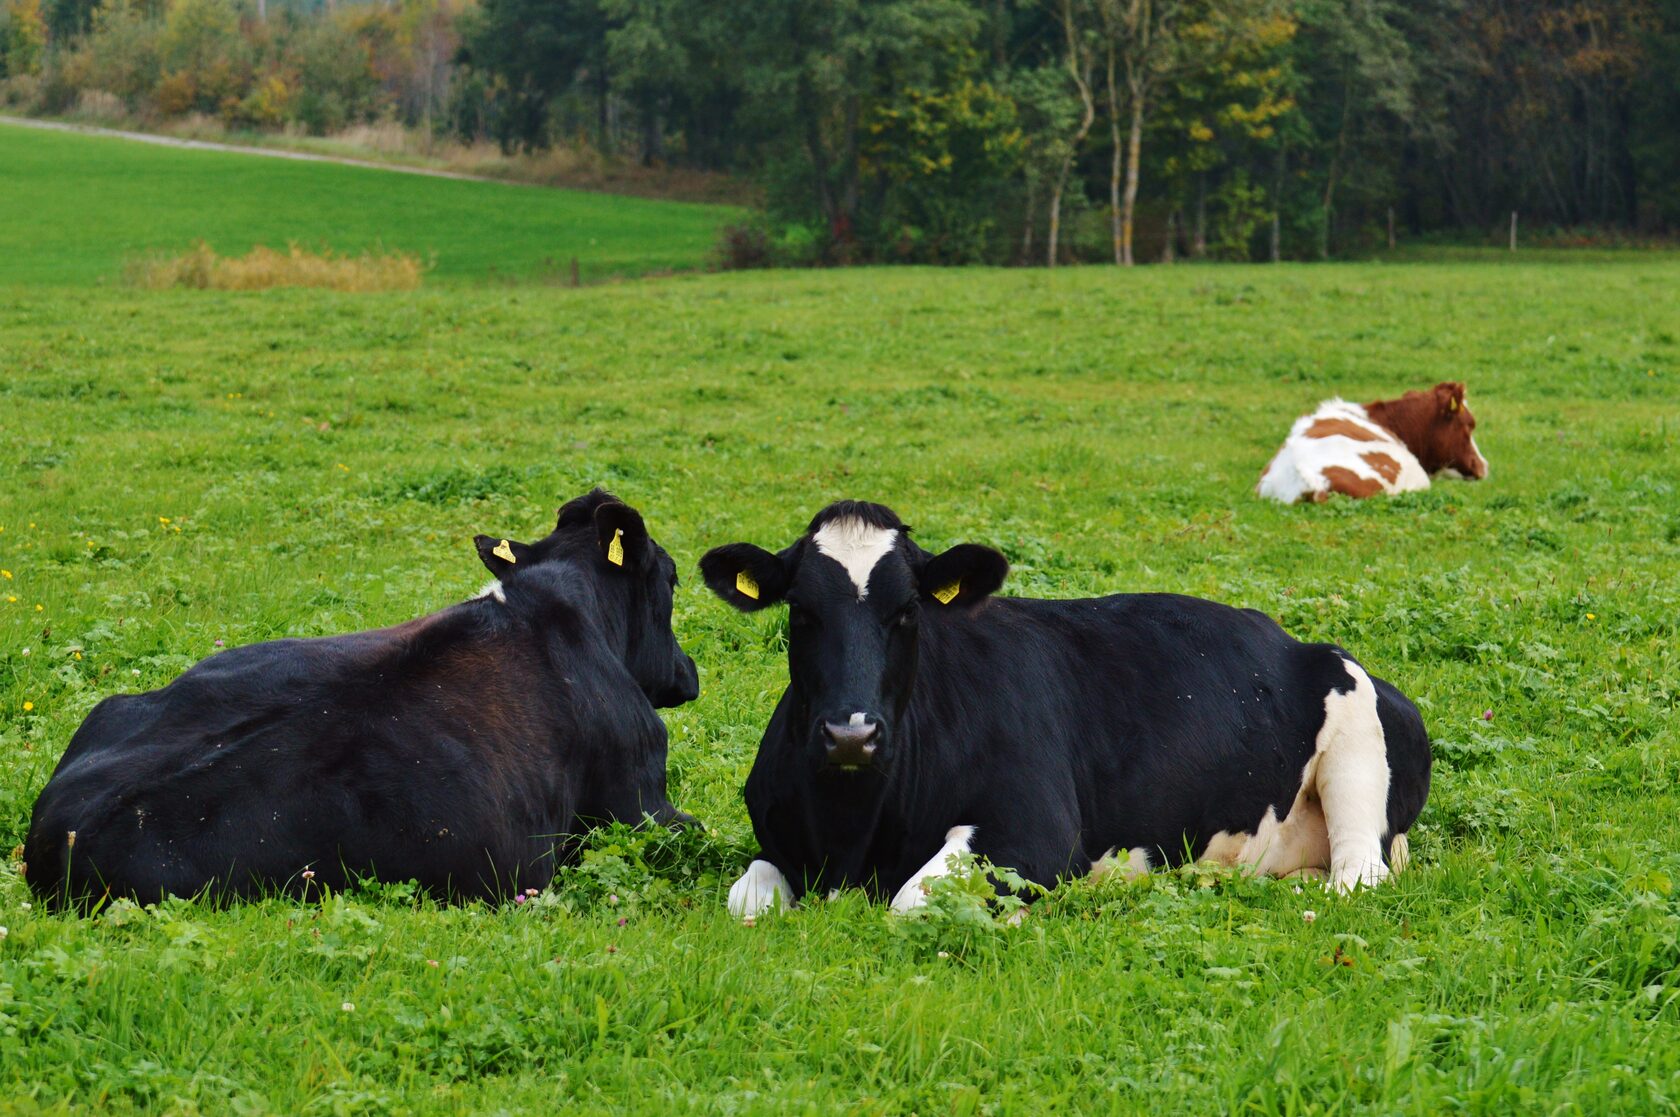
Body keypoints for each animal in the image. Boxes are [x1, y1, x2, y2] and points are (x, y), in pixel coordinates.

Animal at [698, 503, 1431, 913]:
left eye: (907, 611)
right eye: (801, 610)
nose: (851, 735)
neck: (852, 833)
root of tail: (1299, 642)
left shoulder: (1034, 832)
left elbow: (912, 900)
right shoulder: (778, 842)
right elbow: (745, 900)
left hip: (1357, 750)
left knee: (1357, 877)